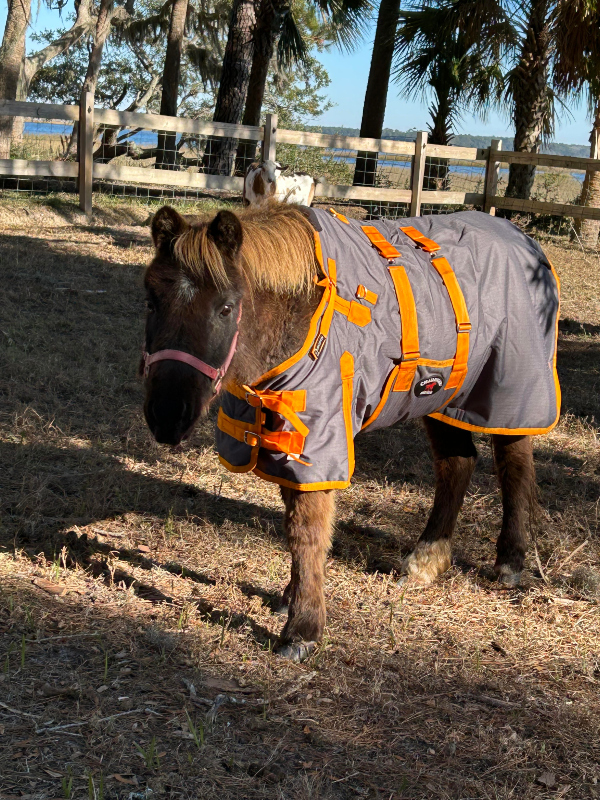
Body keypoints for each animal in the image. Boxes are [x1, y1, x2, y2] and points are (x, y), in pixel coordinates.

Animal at [143, 203, 560, 660]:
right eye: (151, 300)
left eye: (226, 307)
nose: (167, 416)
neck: (303, 313)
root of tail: (524, 241)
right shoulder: (290, 437)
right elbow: (294, 521)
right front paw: (292, 598)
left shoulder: (321, 438)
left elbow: (307, 529)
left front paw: (303, 628)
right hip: (439, 394)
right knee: (458, 464)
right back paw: (426, 559)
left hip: (510, 392)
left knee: (514, 466)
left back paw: (510, 562)